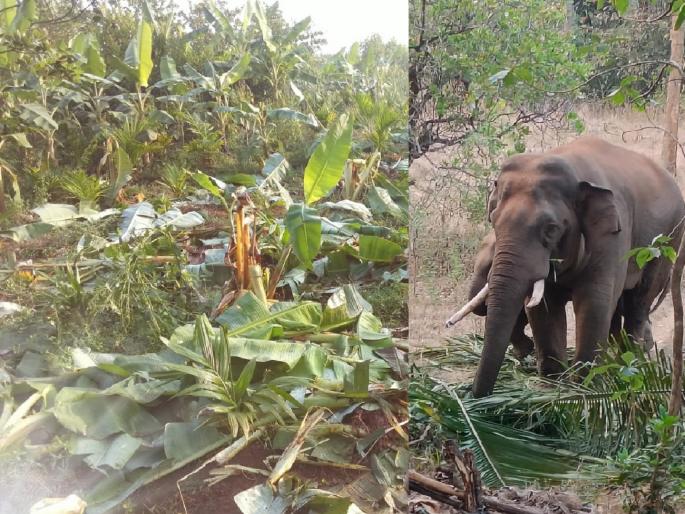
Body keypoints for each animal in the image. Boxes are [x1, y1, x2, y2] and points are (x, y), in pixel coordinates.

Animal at [459, 137, 685, 398]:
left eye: (551, 229)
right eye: (493, 221)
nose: (475, 396)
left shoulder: (612, 235)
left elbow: (594, 301)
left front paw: (584, 387)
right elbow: (543, 307)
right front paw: (554, 383)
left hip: (668, 239)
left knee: (639, 301)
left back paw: (629, 364)